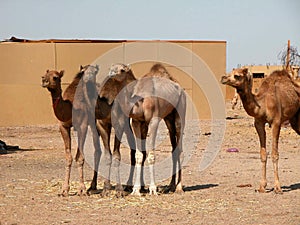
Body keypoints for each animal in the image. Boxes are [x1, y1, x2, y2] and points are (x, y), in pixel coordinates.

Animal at [109, 63, 186, 195]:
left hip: (180, 110)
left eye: (122, 70)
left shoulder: (154, 120)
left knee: (180, 148)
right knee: (173, 147)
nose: (110, 74)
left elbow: (150, 154)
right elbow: (139, 155)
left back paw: (179, 187)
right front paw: (136, 190)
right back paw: (170, 186)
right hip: (168, 118)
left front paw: (153, 189)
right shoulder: (136, 122)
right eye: (111, 67)